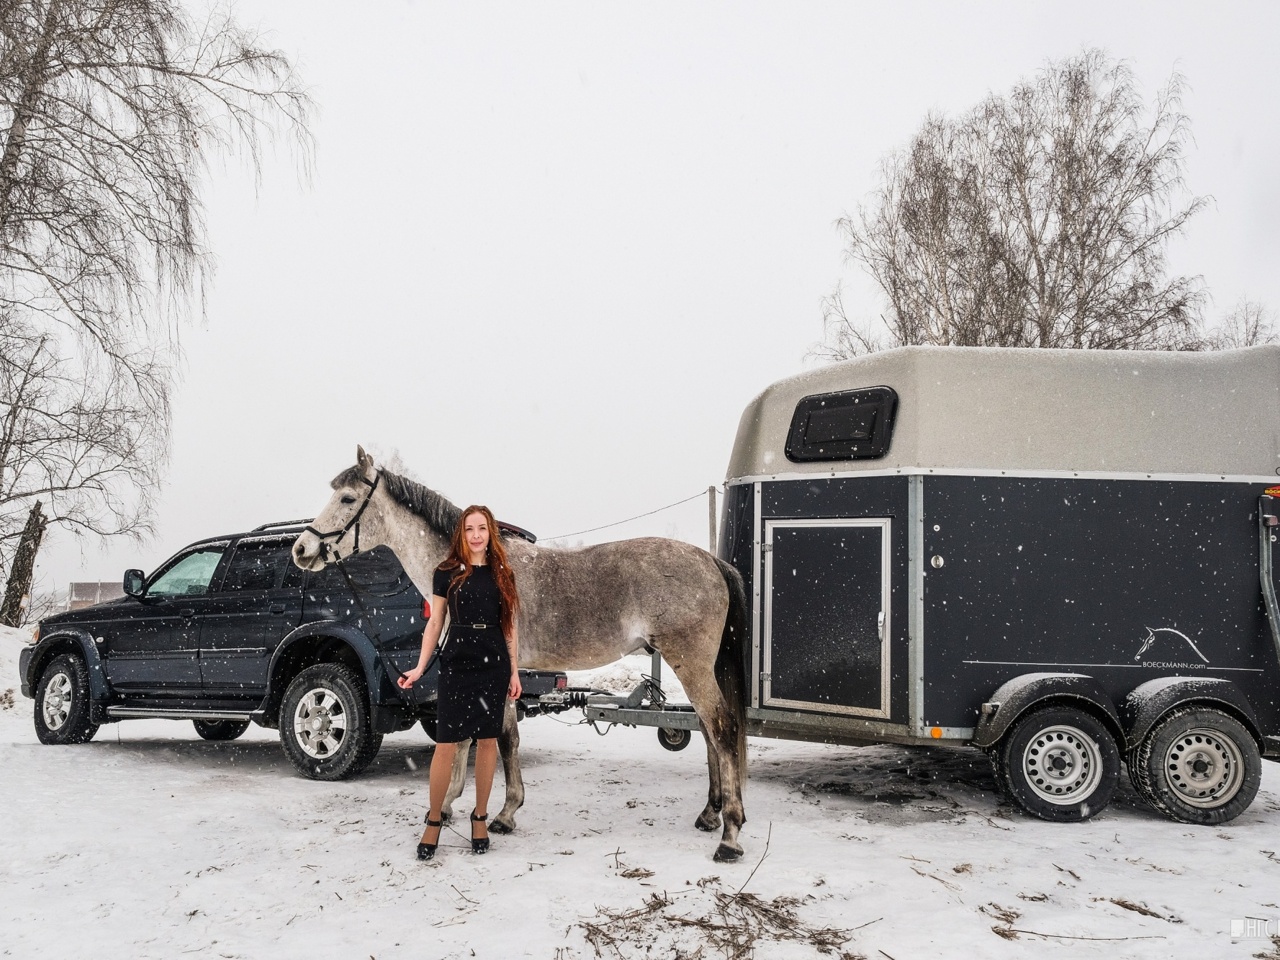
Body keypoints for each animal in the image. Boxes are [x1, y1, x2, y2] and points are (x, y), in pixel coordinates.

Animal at [290, 450, 747, 865]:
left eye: (348, 498)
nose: (301, 549)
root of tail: (710, 561)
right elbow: (482, 738)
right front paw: (466, 807)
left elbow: (499, 739)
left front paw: (495, 813)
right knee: (709, 732)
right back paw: (709, 815)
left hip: (690, 663)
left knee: (721, 729)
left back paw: (730, 835)